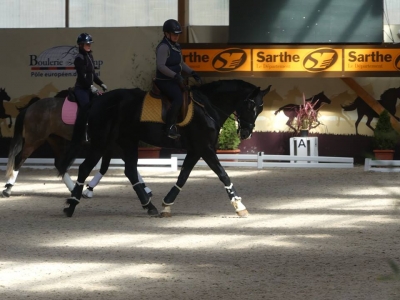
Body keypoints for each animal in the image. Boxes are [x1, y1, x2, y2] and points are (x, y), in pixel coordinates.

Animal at [58, 80, 272, 218]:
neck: (207, 106)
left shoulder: (196, 150)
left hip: (127, 141)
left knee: (130, 171)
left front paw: (167, 205)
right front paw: (239, 206)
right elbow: (223, 175)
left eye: (261, 108)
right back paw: (71, 205)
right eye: (251, 105)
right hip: (101, 142)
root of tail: (98, 100)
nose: (246, 133)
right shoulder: (205, 148)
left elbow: (183, 177)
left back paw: (149, 206)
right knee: (85, 168)